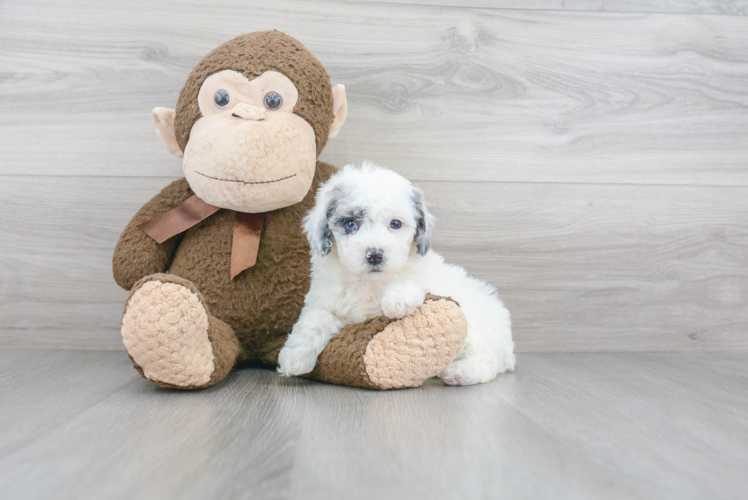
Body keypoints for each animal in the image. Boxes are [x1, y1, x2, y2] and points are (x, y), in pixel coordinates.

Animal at [278, 162, 516, 384]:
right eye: (351, 224)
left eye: (395, 223)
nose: (375, 255)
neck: (368, 282)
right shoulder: (325, 300)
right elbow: (314, 320)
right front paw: (294, 357)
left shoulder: (422, 277)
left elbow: (409, 283)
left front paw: (398, 300)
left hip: (477, 329)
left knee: (488, 361)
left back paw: (461, 372)